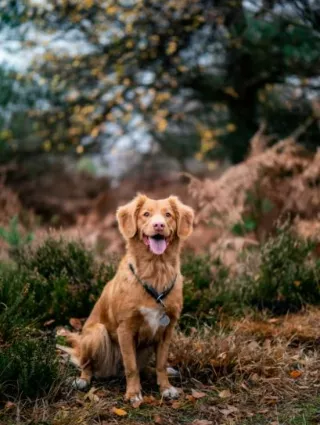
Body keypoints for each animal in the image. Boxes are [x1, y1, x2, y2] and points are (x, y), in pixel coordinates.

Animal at [60, 194, 195, 402]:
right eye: (146, 214)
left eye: (168, 215)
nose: (159, 225)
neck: (156, 269)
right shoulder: (125, 329)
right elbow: (131, 367)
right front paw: (133, 393)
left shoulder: (167, 329)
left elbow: (161, 364)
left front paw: (165, 388)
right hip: (96, 334)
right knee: (88, 365)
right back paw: (83, 380)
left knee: (146, 367)